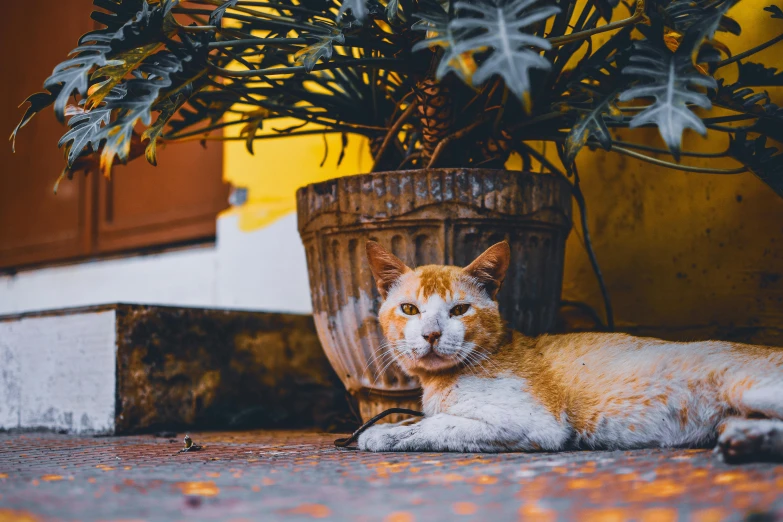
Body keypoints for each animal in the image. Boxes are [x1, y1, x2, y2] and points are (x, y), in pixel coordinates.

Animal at [360, 239, 783, 460]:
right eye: (409, 309)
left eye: (460, 310)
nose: (431, 334)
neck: (439, 382)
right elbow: (417, 420)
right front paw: (388, 426)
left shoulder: (531, 421)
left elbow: (436, 424)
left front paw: (381, 435)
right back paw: (748, 439)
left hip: (747, 387)